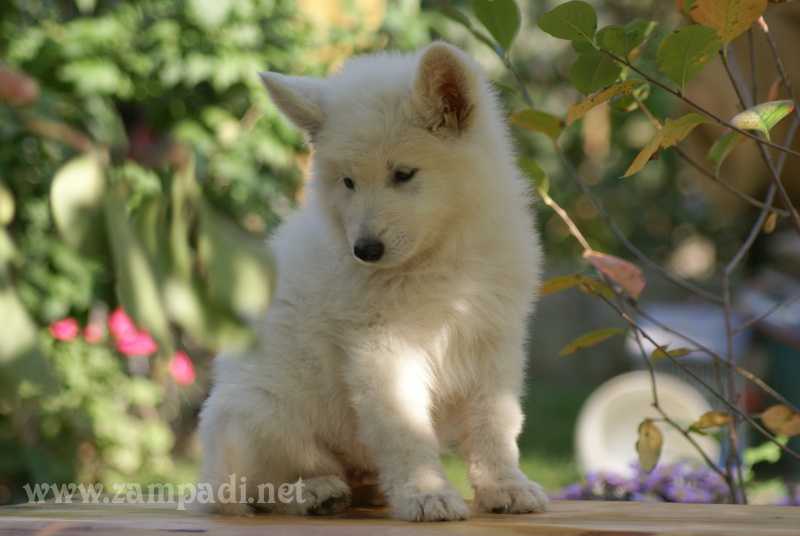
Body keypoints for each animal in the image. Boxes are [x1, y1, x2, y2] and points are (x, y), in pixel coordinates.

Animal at [198, 43, 552, 524]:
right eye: (348, 181)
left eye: (403, 174)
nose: (365, 250)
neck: (439, 259)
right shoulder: (384, 348)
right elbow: (406, 430)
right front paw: (427, 495)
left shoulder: (491, 339)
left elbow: (494, 423)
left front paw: (506, 487)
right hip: (257, 413)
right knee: (247, 490)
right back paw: (315, 492)